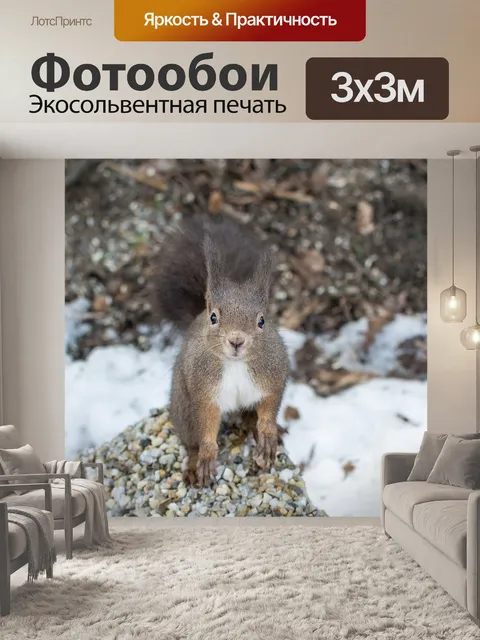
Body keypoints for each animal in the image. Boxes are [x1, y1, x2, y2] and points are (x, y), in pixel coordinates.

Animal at [153, 215, 289, 487]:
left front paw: (268, 433)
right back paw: (194, 465)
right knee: (190, 440)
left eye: (262, 320)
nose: (236, 340)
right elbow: (207, 424)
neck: (235, 365)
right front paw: (207, 456)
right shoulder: (205, 392)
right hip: (184, 409)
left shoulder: (273, 375)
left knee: (250, 415)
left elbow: (269, 406)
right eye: (214, 317)